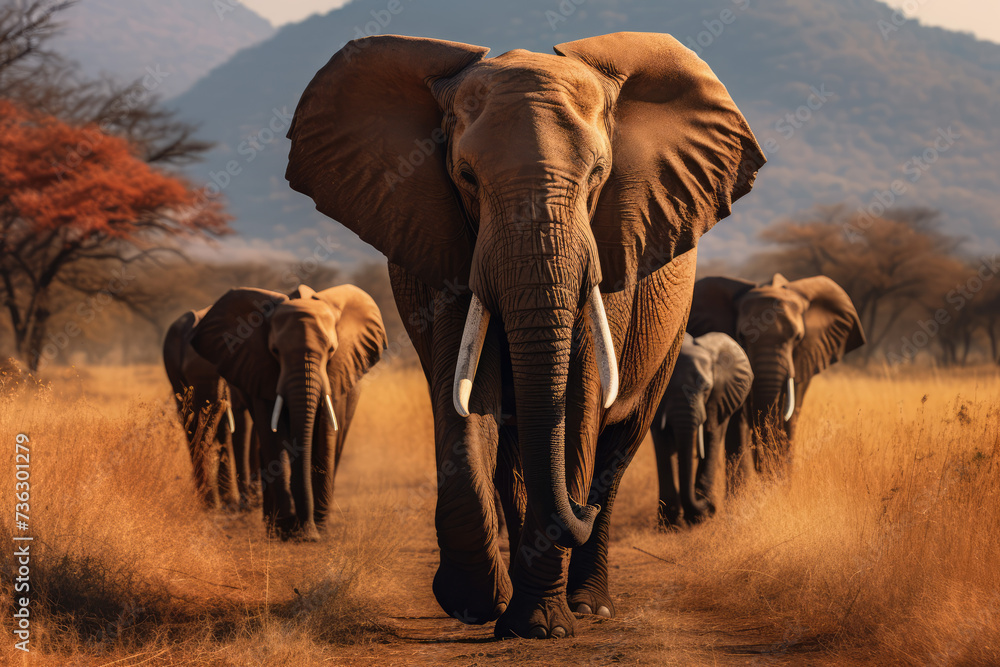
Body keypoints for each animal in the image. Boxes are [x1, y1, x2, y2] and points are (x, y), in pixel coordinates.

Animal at [190, 284, 387, 541]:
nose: (306, 532)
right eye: (275, 350)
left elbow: (325, 435)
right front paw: (287, 529)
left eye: (331, 350)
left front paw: (314, 531)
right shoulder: (259, 368)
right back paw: (274, 527)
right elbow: (273, 436)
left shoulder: (334, 375)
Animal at [650, 332, 752, 528]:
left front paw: (701, 516)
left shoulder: (719, 398)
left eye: (706, 388)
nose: (711, 505)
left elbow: (712, 433)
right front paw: (669, 525)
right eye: (664, 390)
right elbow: (662, 441)